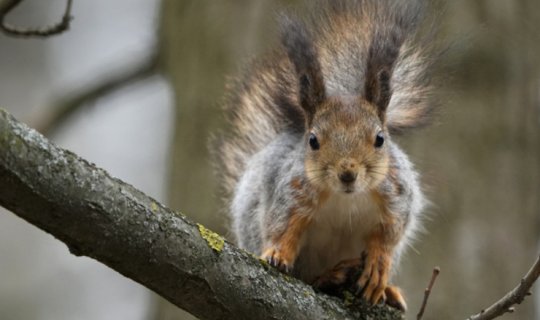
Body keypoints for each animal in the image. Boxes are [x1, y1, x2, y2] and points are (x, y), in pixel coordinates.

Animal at [215, 0, 438, 312]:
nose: (347, 173)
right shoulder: (293, 192)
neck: (344, 198)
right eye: (313, 140)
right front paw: (278, 253)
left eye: (380, 139)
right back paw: (331, 276)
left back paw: (384, 289)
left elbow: (389, 234)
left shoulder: (396, 195)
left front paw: (379, 265)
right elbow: (282, 225)